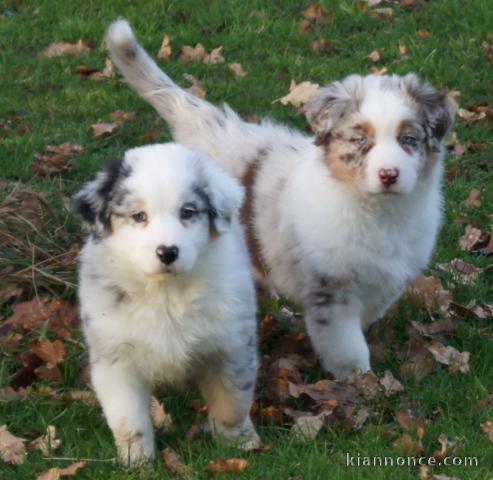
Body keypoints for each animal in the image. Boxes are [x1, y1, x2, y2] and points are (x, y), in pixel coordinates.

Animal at [75, 142, 260, 464]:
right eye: (139, 216)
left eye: (188, 212)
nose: (167, 252)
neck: (166, 294)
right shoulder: (115, 357)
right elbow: (128, 418)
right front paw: (137, 460)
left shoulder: (231, 345)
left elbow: (231, 401)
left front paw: (238, 444)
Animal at [106, 20, 454, 380]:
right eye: (361, 141)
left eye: (408, 139)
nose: (389, 174)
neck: (379, 212)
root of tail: (204, 123)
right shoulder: (330, 290)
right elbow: (346, 342)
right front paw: (356, 378)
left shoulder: (389, 279)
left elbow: (369, 314)